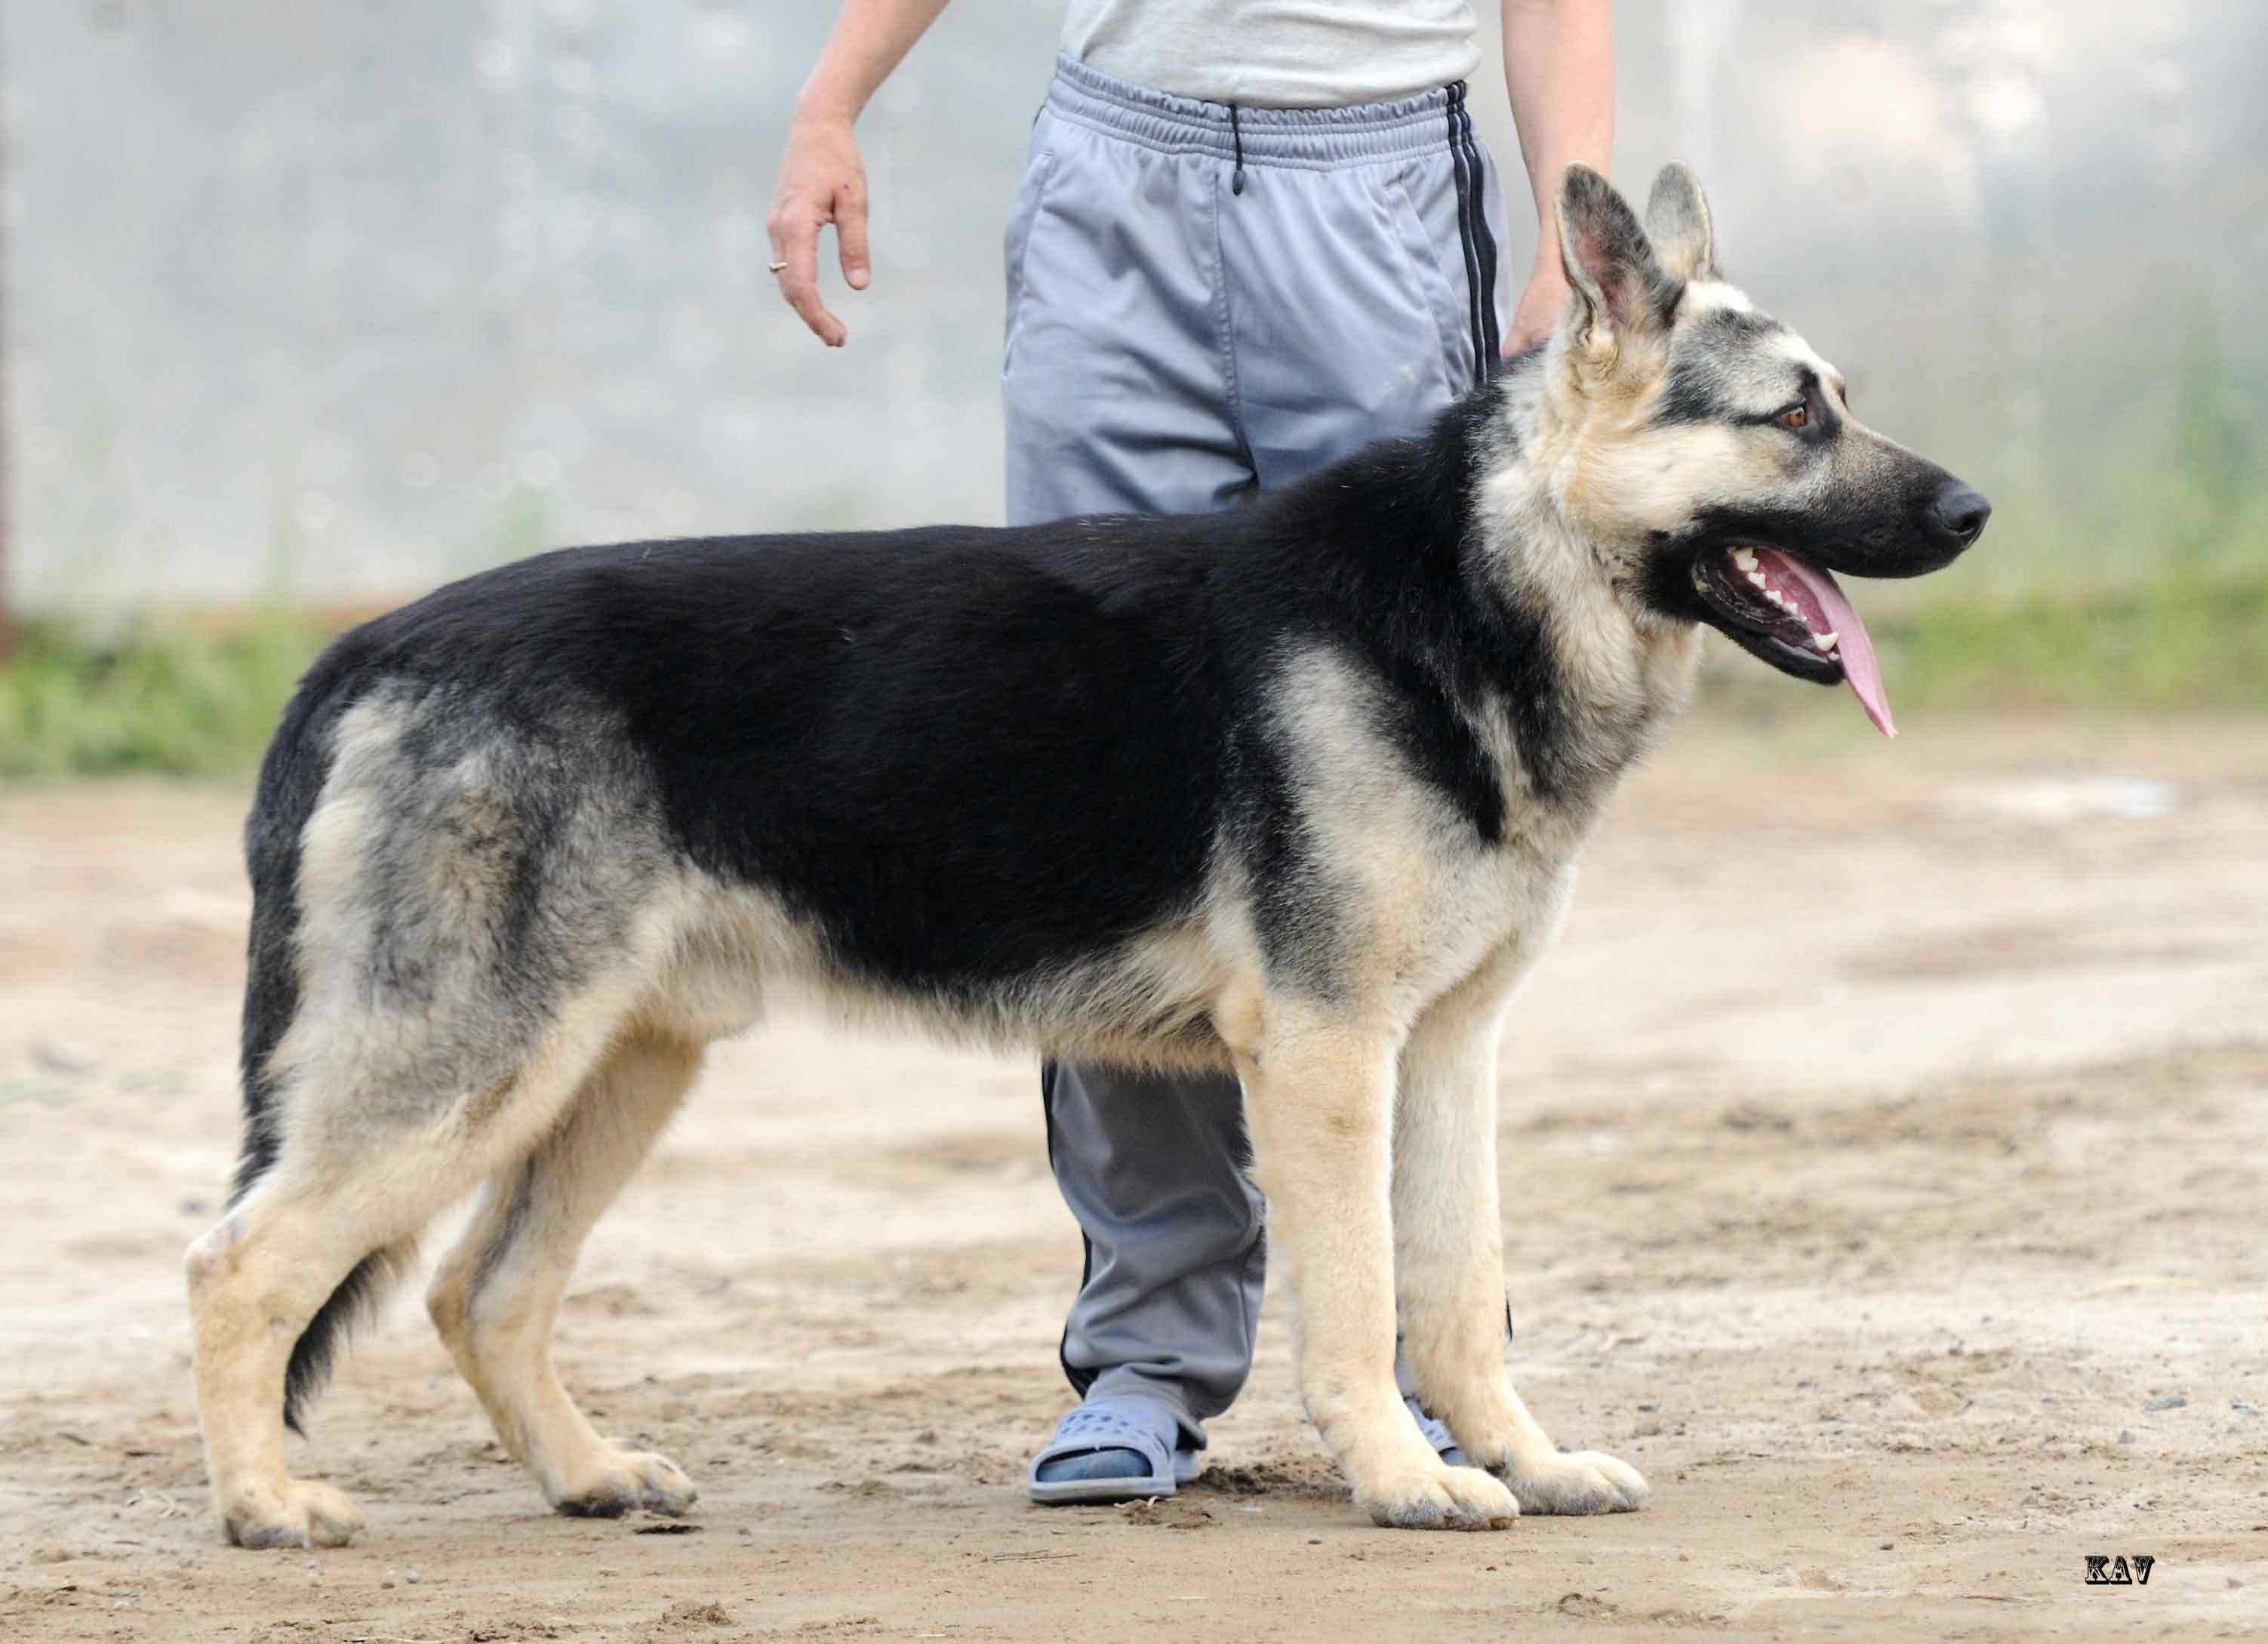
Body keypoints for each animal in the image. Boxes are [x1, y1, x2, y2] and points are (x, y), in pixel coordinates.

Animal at [190, 163, 1986, 1541]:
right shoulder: (1326, 1056)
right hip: (472, 1070)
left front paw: (1522, 1464)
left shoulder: (1448, 1052)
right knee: (241, 1265)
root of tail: (363, 647)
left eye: (1839, 405)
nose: (1972, 514)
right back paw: (268, 1506)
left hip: (612, 1067)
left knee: (478, 1293)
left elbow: (1460, 1287)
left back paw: (586, 1477)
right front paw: (1405, 1481)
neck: (1477, 581)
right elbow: (1356, 1298)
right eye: (1793, 417)